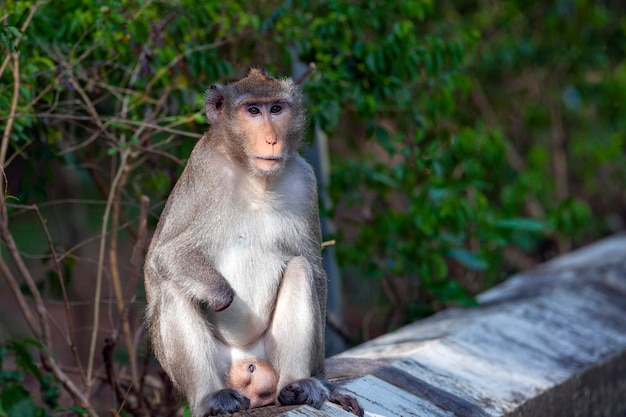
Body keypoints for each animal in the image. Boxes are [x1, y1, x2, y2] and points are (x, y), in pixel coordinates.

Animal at [142, 69, 364, 416]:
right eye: (253, 111)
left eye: (276, 109)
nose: (272, 139)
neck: (255, 176)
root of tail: (246, 362)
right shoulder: (205, 171)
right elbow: (165, 256)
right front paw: (219, 295)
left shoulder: (304, 179)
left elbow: (313, 268)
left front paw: (325, 382)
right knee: (173, 287)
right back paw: (211, 398)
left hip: (268, 354)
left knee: (300, 269)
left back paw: (297, 386)